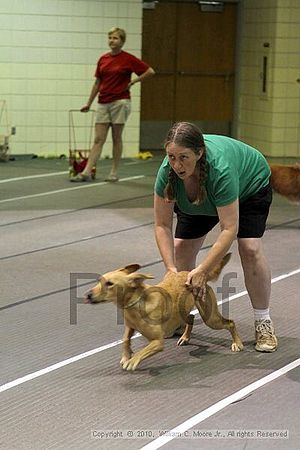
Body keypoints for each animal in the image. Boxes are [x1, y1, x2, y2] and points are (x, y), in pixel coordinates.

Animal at [85, 253, 244, 372]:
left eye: (110, 284)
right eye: (99, 281)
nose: (88, 295)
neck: (136, 303)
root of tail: (198, 276)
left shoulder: (157, 342)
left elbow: (142, 351)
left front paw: (132, 360)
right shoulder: (129, 326)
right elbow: (125, 339)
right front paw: (126, 355)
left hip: (210, 317)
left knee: (230, 323)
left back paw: (237, 343)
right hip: (184, 313)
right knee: (191, 317)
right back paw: (185, 337)